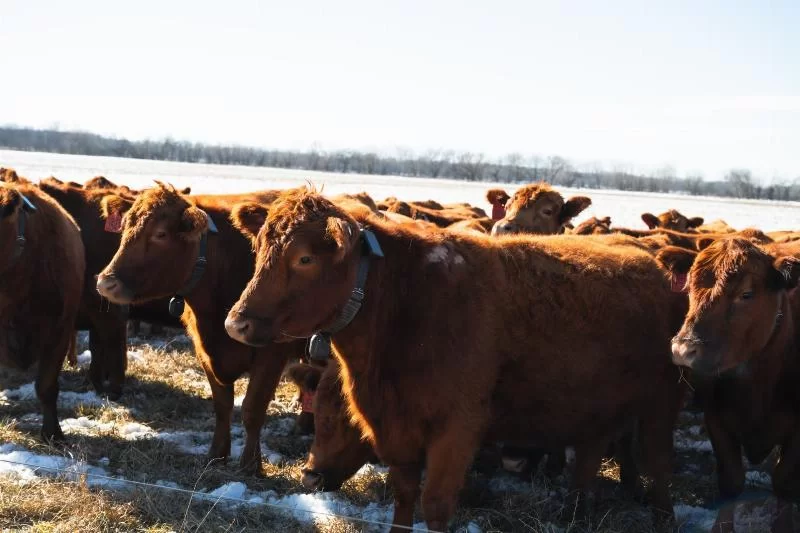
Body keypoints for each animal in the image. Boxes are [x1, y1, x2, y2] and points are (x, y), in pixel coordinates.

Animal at [94, 184, 306, 474]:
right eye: (125, 227)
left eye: (160, 234)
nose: (105, 283)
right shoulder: (205, 351)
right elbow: (222, 405)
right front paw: (216, 455)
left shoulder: (271, 354)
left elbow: (253, 408)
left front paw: (250, 465)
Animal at [656, 238, 800, 532]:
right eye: (689, 287)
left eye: (746, 294)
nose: (683, 349)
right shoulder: (716, 419)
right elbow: (731, 481)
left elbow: (784, 483)